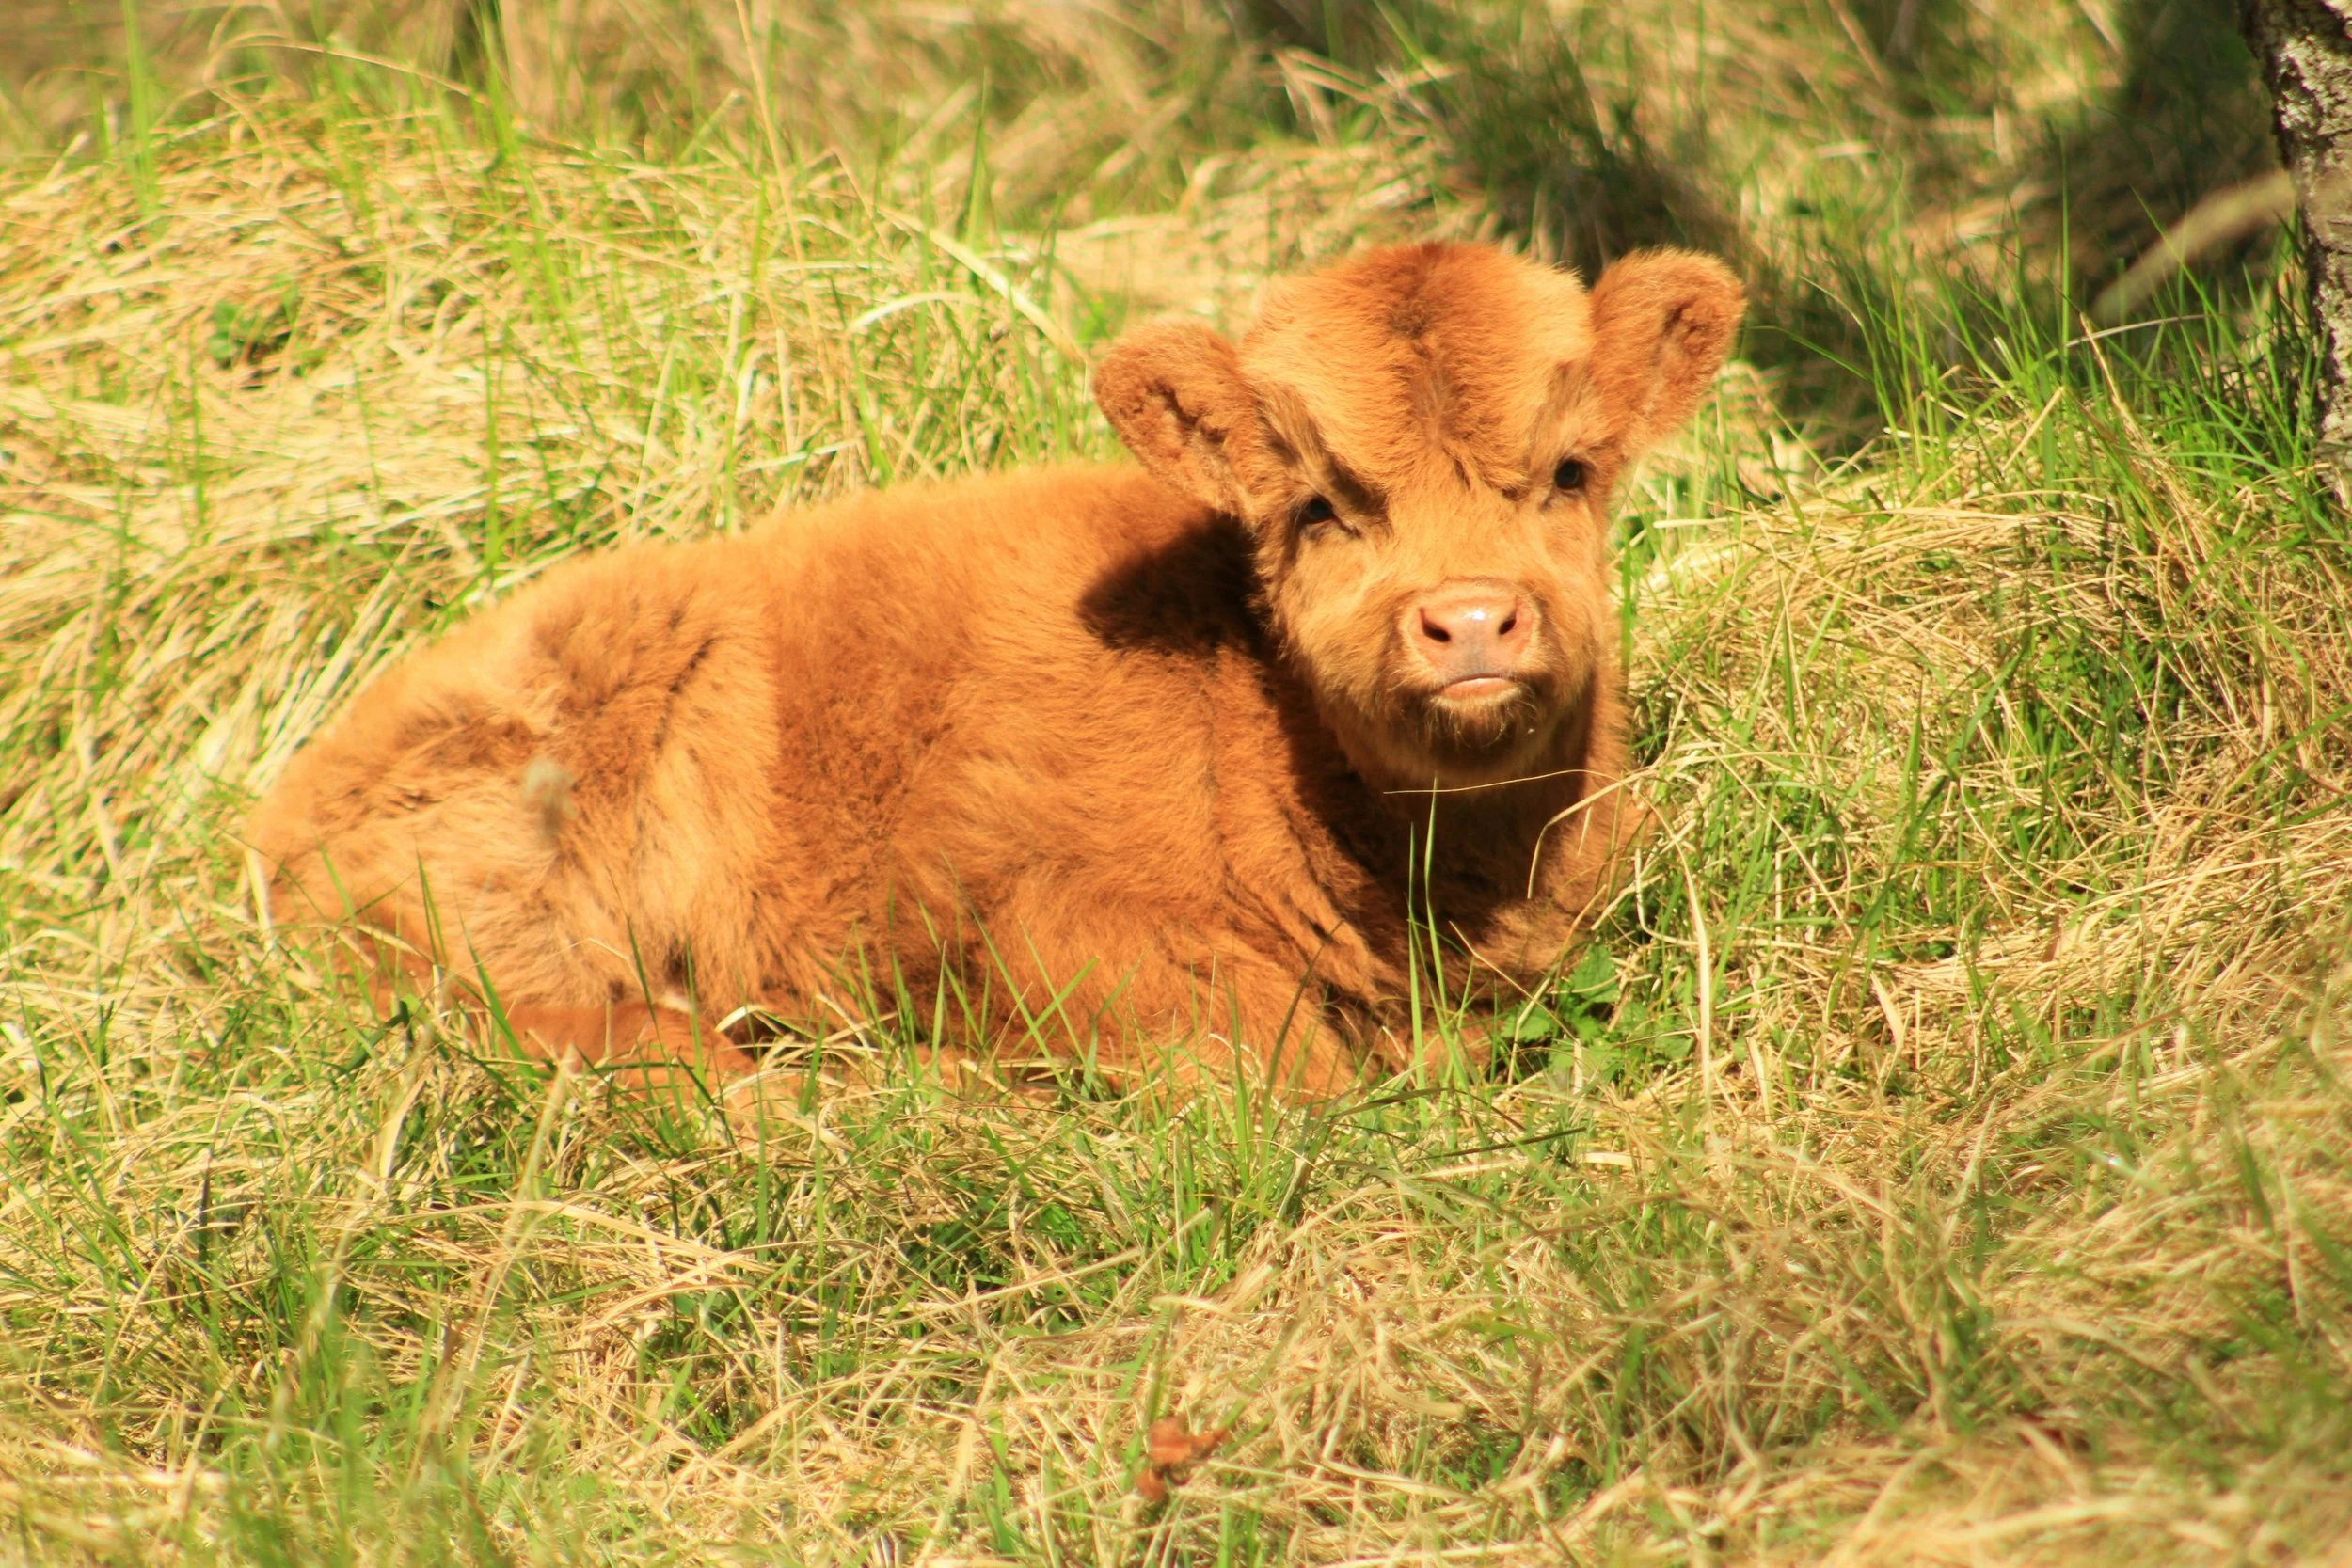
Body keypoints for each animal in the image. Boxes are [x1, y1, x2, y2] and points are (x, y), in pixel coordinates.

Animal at [247, 241, 1745, 1097]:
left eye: (1570, 470)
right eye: (1322, 505)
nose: (1472, 621)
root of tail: (287, 804)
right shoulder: (1044, 918)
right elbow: (1274, 1063)